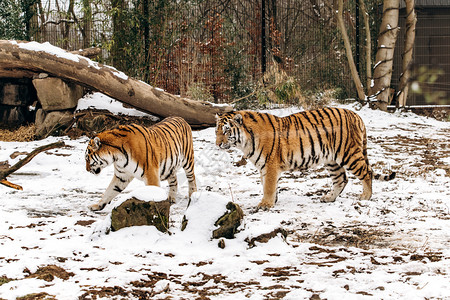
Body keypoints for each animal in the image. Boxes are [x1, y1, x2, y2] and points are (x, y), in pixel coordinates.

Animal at [216, 108, 396, 211]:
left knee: (367, 172)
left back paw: (365, 197)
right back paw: (328, 198)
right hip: (331, 160)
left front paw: (265, 205)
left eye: (226, 131)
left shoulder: (270, 165)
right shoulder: (264, 167)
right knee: (341, 179)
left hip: (349, 153)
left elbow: (268, 186)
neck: (245, 141)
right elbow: (269, 185)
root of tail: (357, 115)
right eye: (216, 131)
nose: (217, 144)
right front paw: (273, 201)